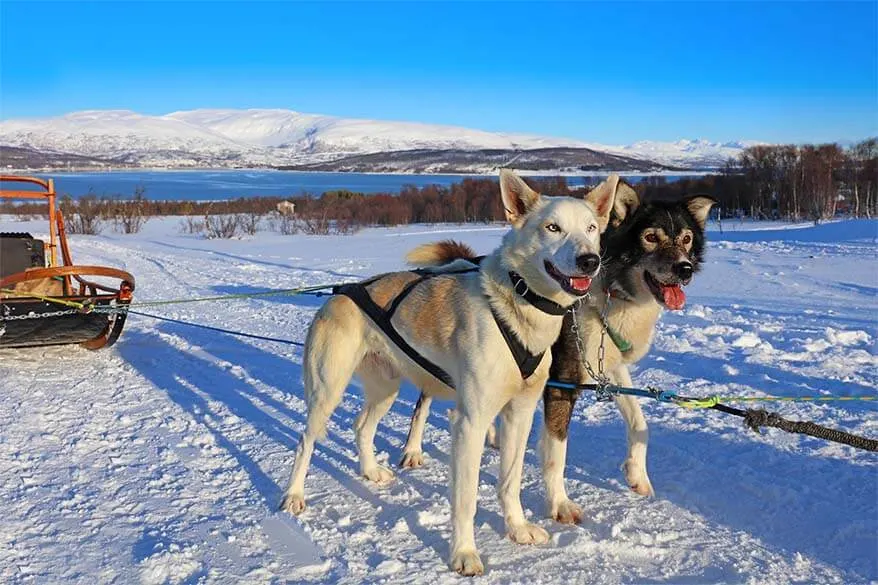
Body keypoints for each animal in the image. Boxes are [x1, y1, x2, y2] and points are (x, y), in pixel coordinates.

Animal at [282, 169, 620, 576]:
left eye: (591, 228)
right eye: (552, 227)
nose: (589, 260)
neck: (518, 304)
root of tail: (338, 294)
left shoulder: (519, 414)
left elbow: (510, 481)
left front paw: (517, 528)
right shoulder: (470, 422)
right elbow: (465, 499)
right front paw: (464, 553)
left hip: (386, 389)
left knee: (361, 427)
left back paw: (371, 472)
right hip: (327, 392)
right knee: (305, 441)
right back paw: (294, 495)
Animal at [404, 176, 716, 524]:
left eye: (686, 239)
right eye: (650, 237)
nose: (684, 269)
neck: (606, 292)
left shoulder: (609, 367)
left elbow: (639, 422)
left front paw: (637, 474)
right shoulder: (562, 384)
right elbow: (557, 453)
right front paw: (559, 504)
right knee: (423, 403)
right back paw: (412, 450)